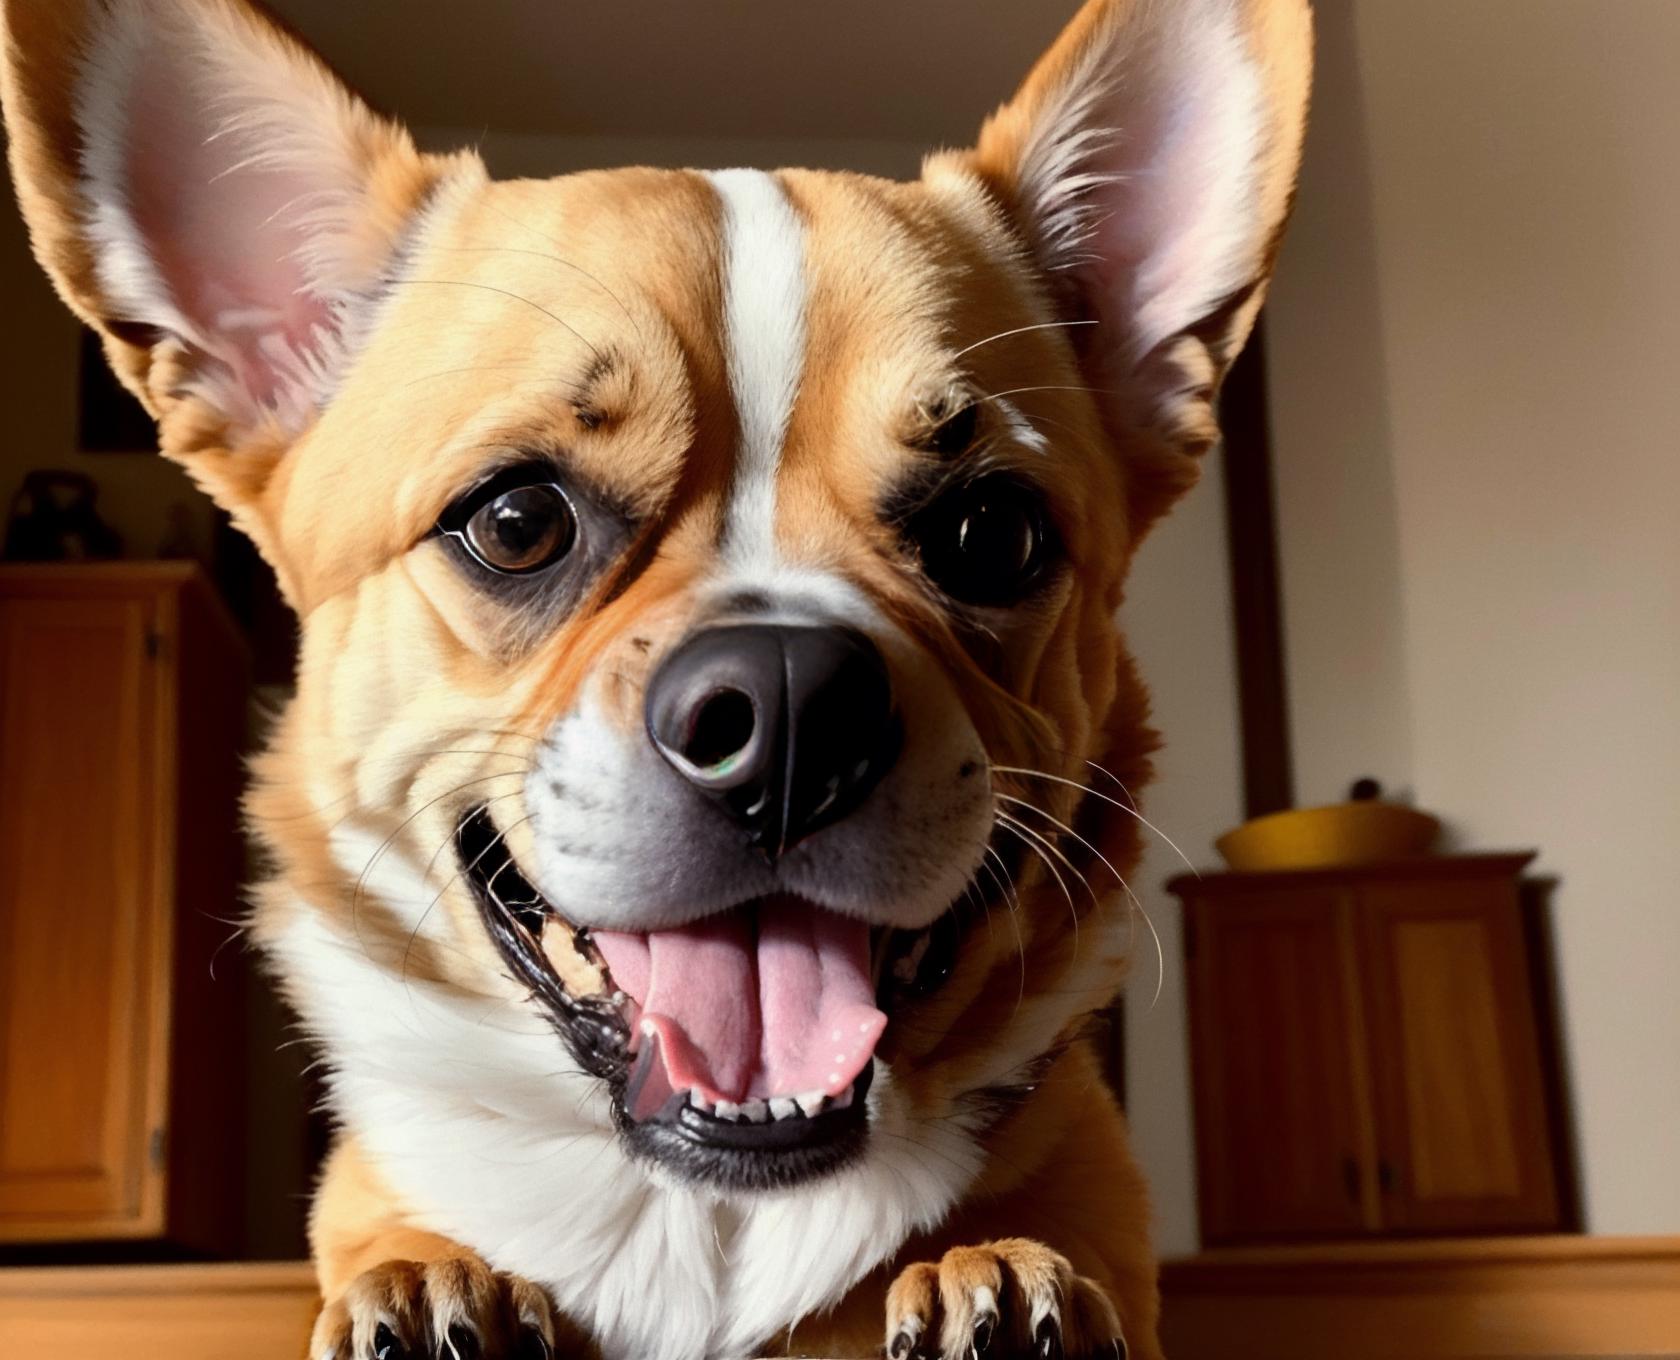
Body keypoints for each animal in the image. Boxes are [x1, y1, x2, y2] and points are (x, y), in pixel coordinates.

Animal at [1, 0, 1309, 1355]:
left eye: (992, 534)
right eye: (517, 520)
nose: (790, 709)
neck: (703, 1217)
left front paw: (992, 1270)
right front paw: (427, 1280)